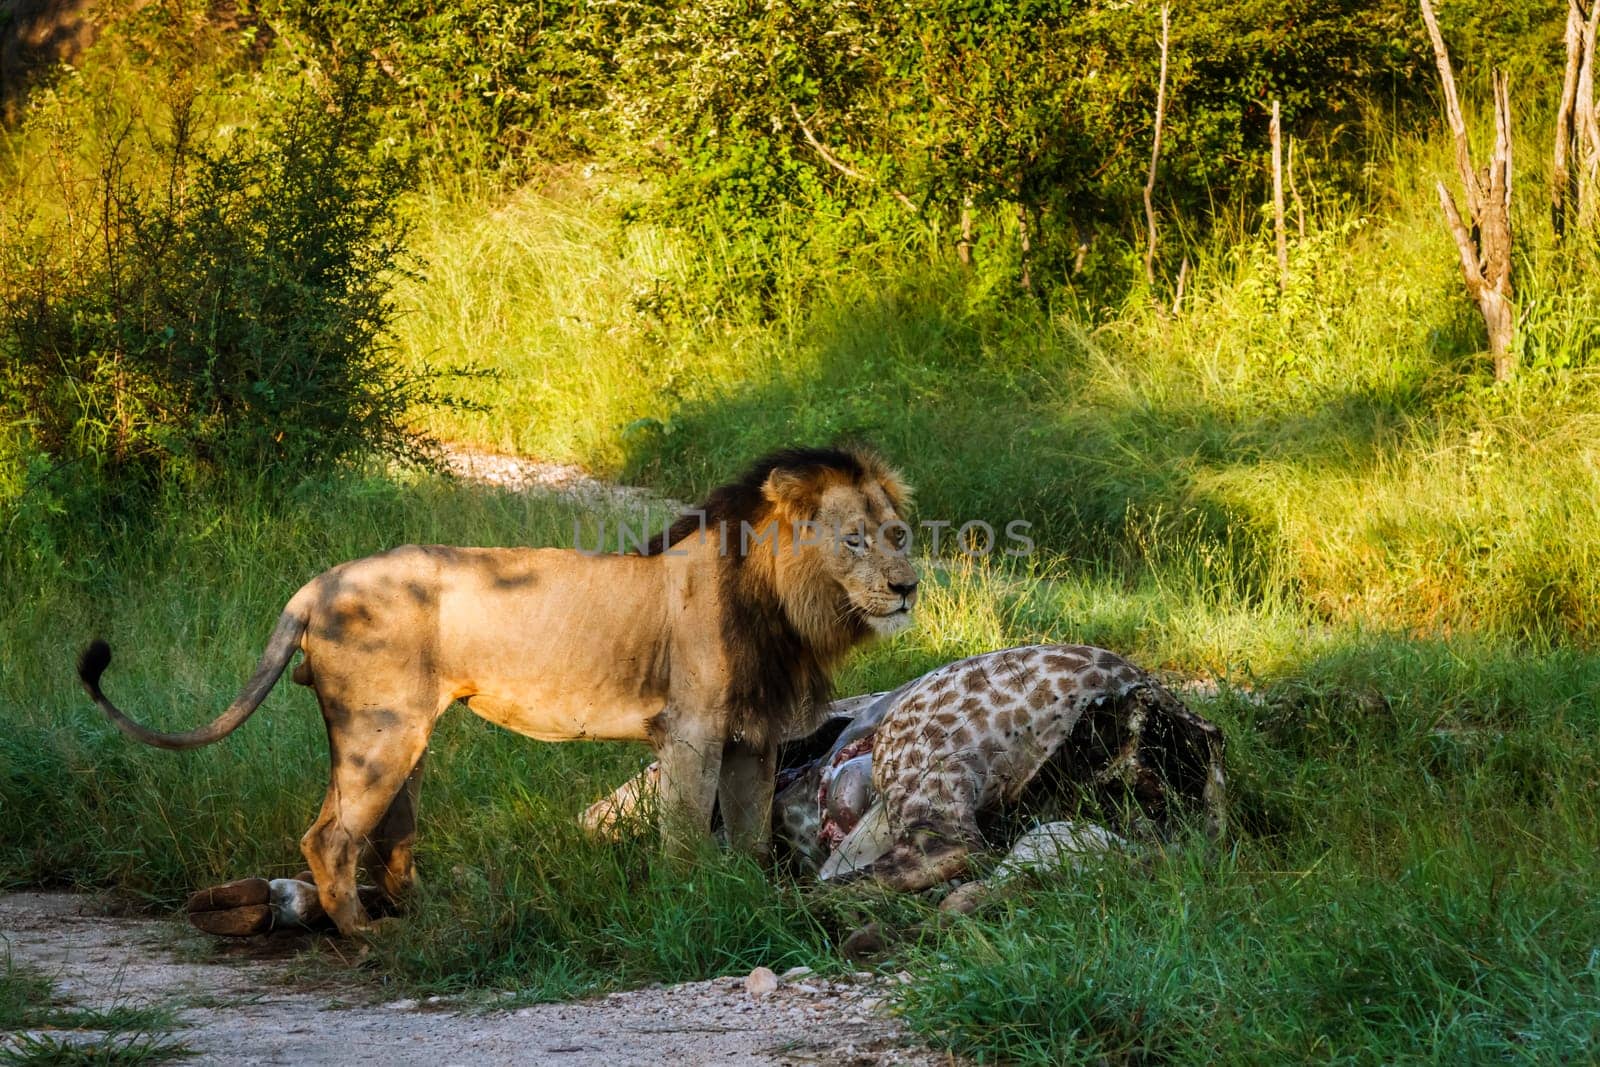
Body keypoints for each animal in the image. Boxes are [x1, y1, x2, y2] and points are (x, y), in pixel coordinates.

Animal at [81, 447, 921, 927]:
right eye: (854, 539)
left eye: (899, 534)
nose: (908, 586)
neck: (785, 603)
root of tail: (319, 582)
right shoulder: (690, 730)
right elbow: (686, 833)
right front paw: (690, 901)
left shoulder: (754, 733)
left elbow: (746, 837)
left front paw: (747, 897)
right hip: (381, 731)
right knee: (330, 836)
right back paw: (364, 940)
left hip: (399, 734)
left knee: (388, 837)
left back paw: (417, 918)